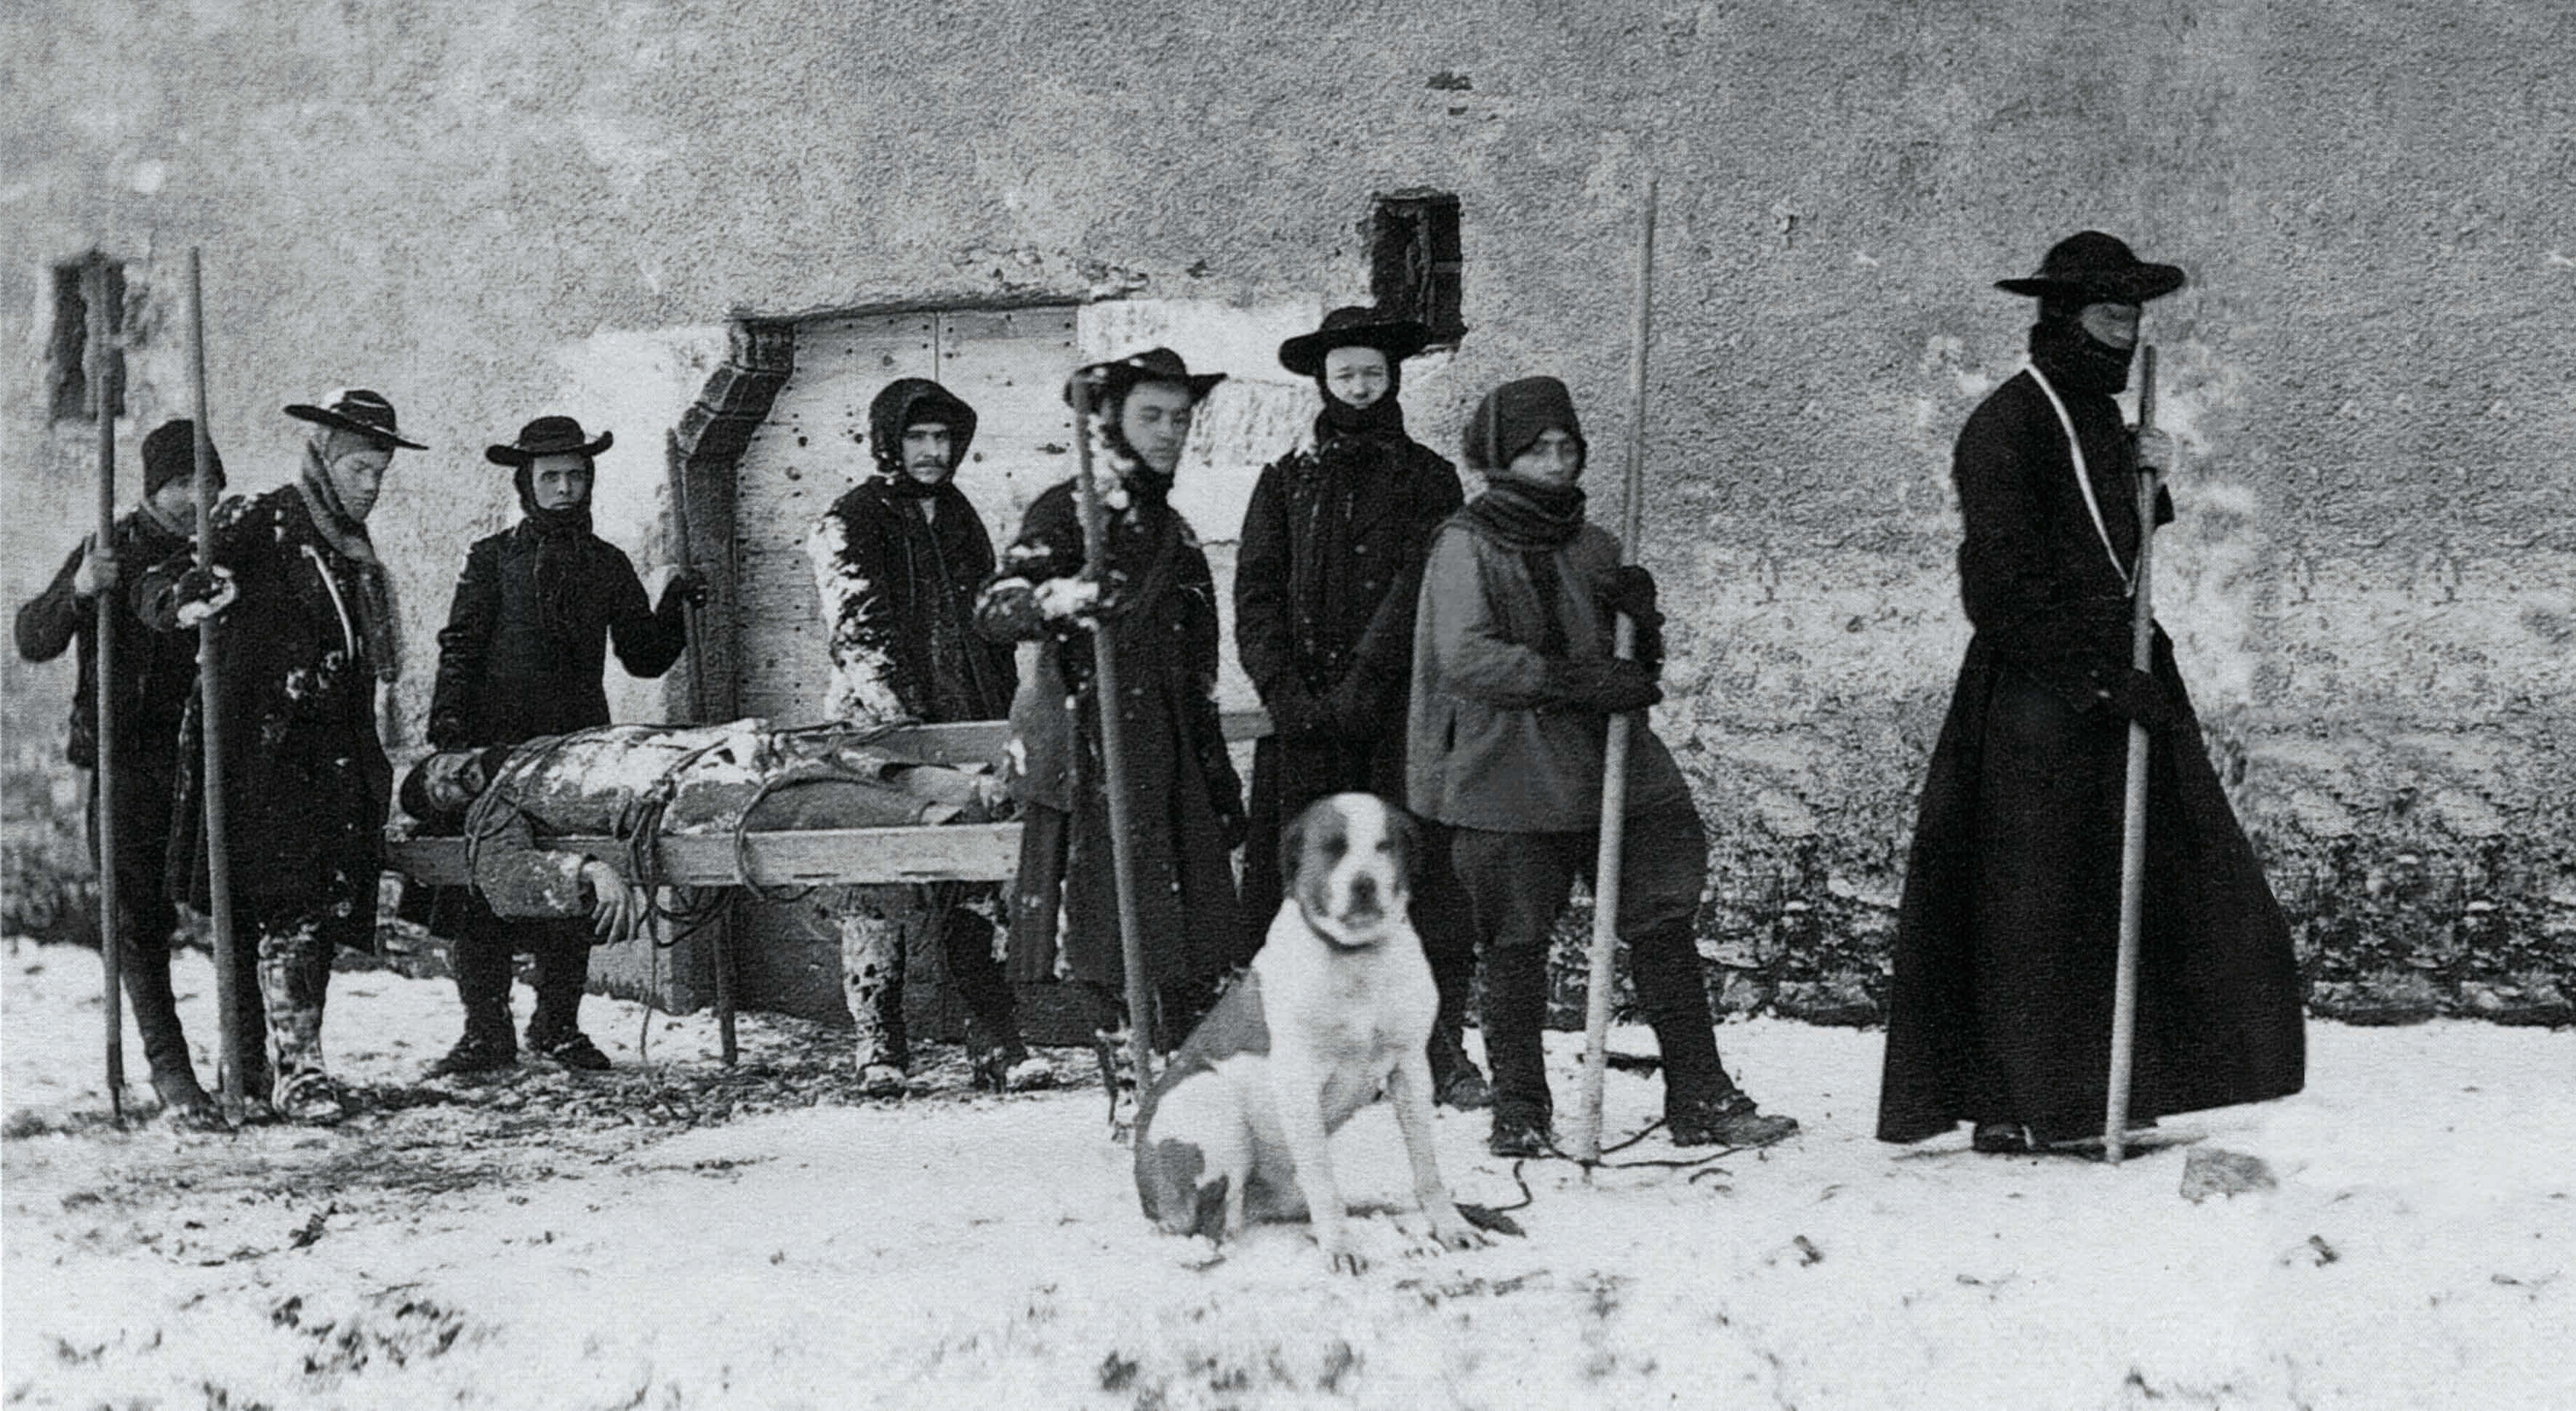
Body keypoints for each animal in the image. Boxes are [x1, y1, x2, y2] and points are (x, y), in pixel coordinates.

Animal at [1133, 792, 1483, 1266]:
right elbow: (1322, 1177)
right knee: (1213, 1223)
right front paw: (1340, 1248)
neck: (1355, 958)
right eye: (1333, 847)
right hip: (1207, 1095)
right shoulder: (1299, 1084)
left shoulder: (1410, 1069)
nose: (1363, 884)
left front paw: (1451, 1226)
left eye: (1384, 846)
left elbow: (1426, 1165)